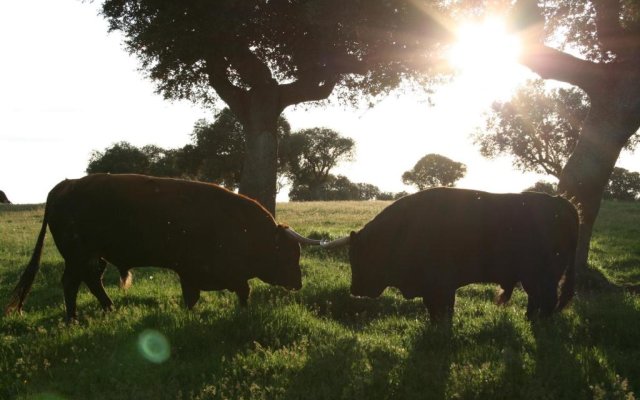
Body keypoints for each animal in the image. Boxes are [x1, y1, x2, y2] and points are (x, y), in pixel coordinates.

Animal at [5, 173, 320, 320]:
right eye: (287, 254)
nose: (298, 282)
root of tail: (65, 185)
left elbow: (238, 291)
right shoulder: (193, 272)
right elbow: (207, 294)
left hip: (95, 257)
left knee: (92, 281)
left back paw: (110, 309)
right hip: (78, 256)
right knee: (71, 283)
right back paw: (73, 318)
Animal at [322, 188, 576, 322]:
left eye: (362, 256)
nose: (355, 290)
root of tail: (560, 203)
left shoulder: (442, 285)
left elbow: (443, 309)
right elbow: (433, 309)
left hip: (542, 276)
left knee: (546, 299)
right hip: (533, 278)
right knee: (537, 299)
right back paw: (529, 320)